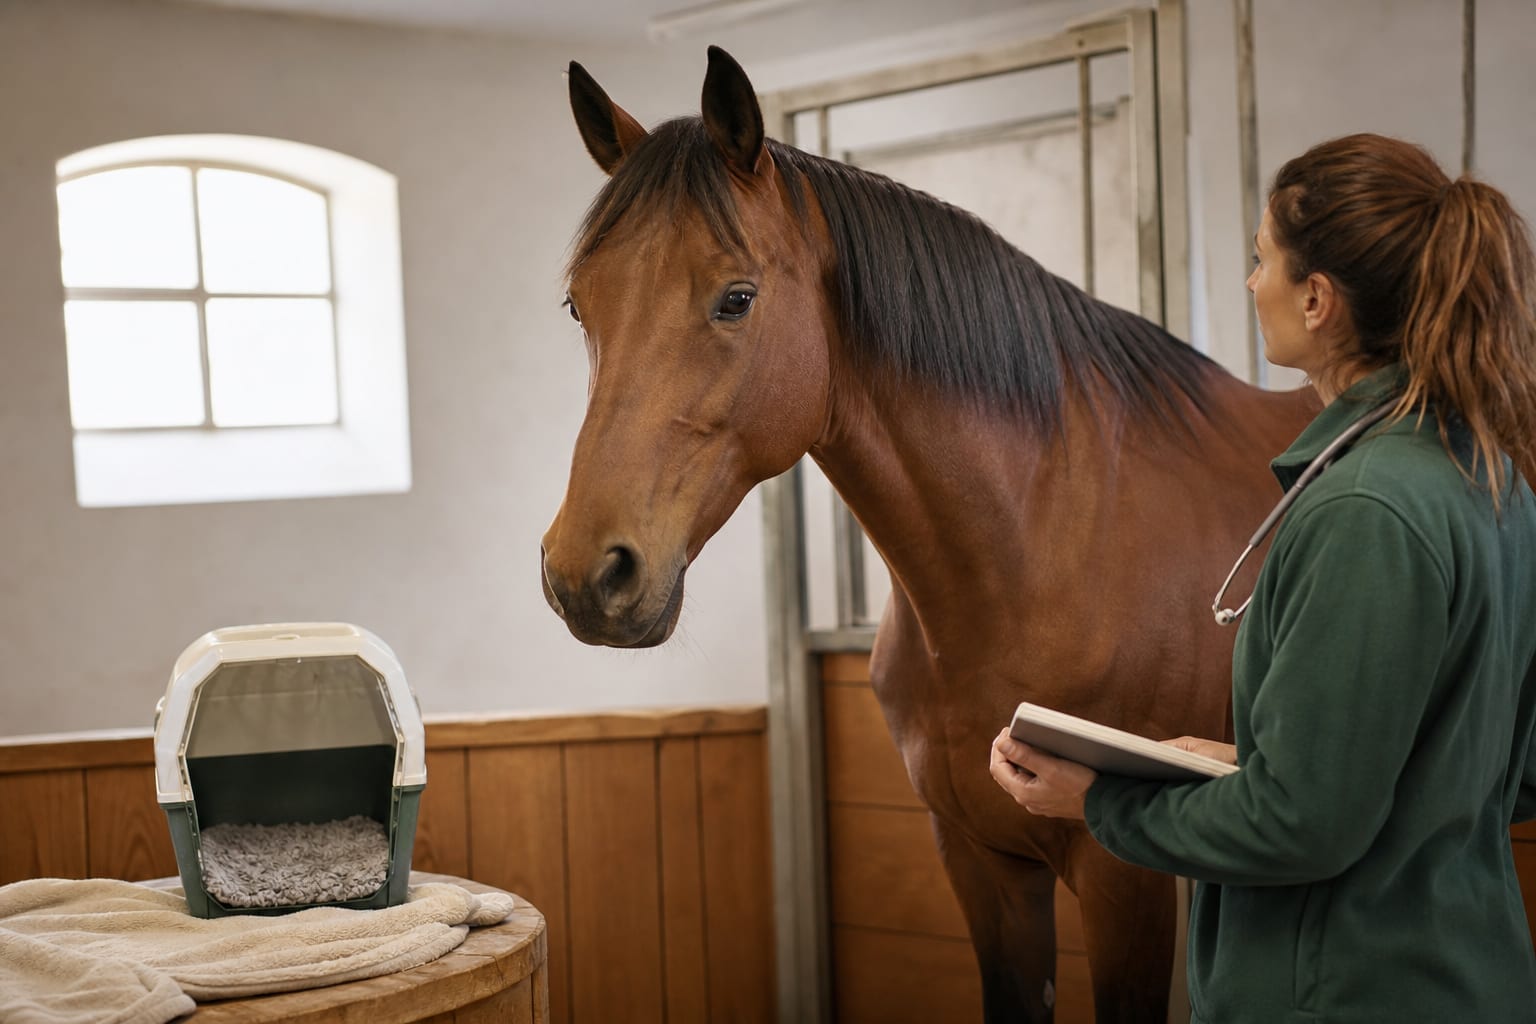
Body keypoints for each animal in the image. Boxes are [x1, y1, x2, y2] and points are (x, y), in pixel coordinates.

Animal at [539, 46, 1320, 1022]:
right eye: (579, 307)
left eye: (737, 299)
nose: (585, 575)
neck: (1039, 551)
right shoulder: (983, 867)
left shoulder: (1125, 884)